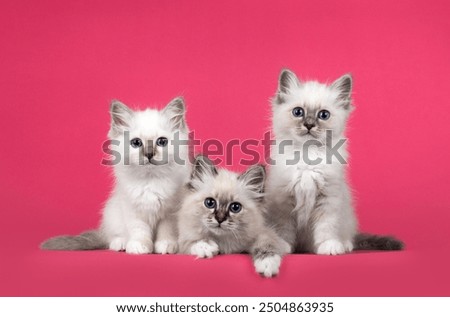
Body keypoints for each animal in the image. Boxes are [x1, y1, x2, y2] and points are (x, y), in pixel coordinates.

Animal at [41, 97, 191, 254]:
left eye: (162, 142)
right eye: (136, 143)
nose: (149, 154)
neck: (150, 180)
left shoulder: (170, 211)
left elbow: (166, 231)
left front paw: (165, 245)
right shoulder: (132, 208)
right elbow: (139, 231)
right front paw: (139, 247)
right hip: (113, 212)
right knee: (113, 236)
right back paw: (121, 243)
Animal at [266, 69, 402, 254]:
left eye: (323, 115)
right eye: (298, 112)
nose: (309, 125)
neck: (308, 156)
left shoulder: (328, 197)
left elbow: (327, 226)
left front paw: (329, 246)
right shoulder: (283, 201)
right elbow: (283, 228)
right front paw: (282, 244)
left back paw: (344, 244)